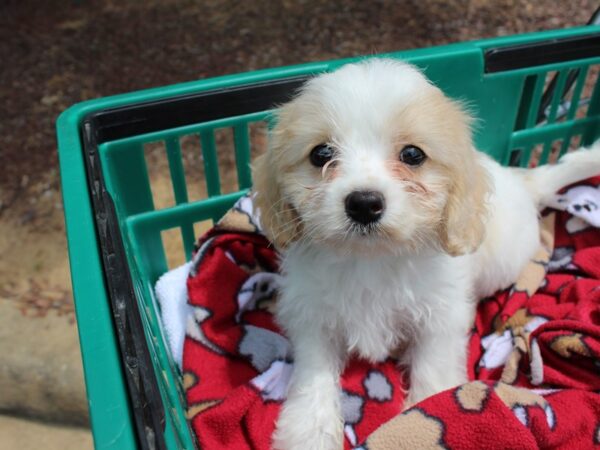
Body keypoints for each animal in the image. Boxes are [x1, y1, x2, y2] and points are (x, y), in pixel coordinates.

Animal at [252, 59, 600, 450]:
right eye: (321, 154)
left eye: (413, 155)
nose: (364, 203)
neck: (371, 259)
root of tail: (521, 181)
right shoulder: (312, 317)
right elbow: (314, 375)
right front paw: (308, 432)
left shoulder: (440, 318)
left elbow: (434, 370)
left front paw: (426, 416)